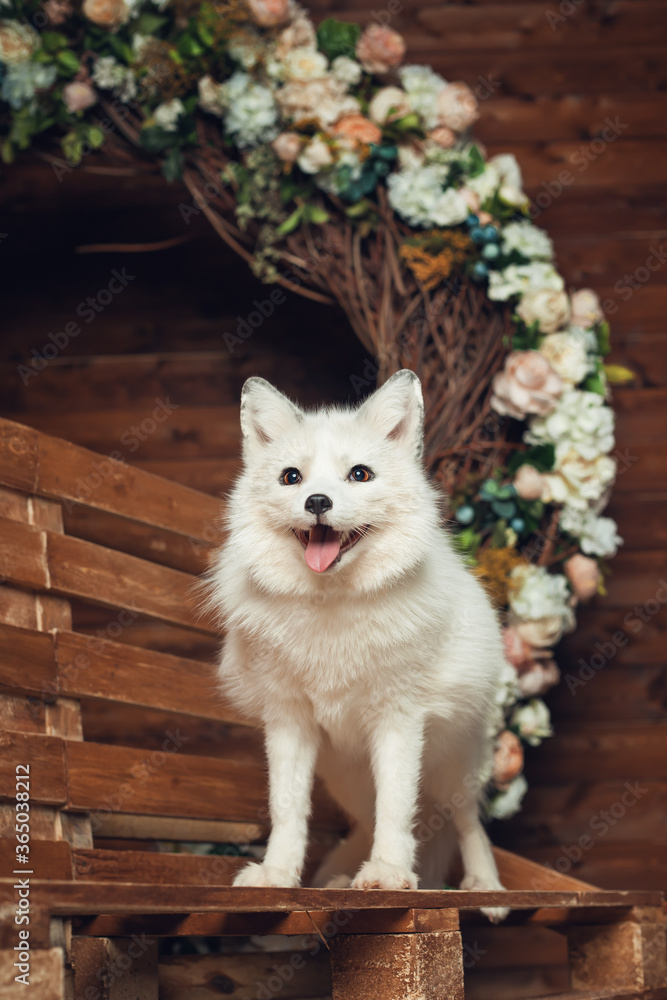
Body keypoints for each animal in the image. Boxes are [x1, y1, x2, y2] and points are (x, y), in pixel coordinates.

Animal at [207, 369, 510, 922]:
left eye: (360, 475)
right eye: (292, 478)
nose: (318, 503)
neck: (331, 614)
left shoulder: (398, 719)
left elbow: (396, 810)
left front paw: (389, 875)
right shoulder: (289, 722)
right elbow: (288, 810)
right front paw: (278, 875)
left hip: (451, 771)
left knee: (467, 823)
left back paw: (486, 888)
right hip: (349, 782)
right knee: (373, 824)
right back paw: (343, 878)